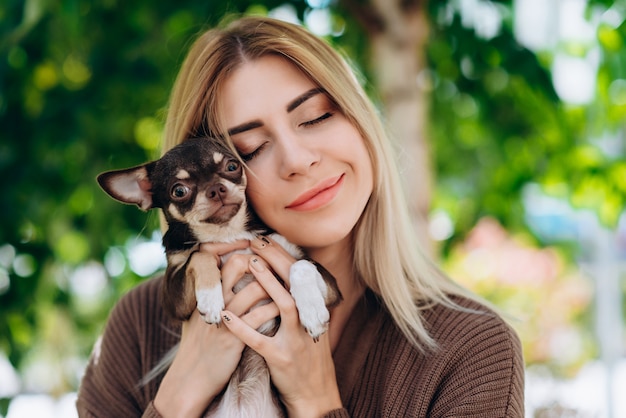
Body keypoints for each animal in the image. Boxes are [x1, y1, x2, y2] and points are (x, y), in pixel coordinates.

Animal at [96, 138, 342, 418]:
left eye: (232, 166)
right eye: (179, 191)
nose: (216, 189)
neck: (227, 234)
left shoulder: (327, 284)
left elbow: (301, 265)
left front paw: (312, 311)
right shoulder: (174, 300)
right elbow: (200, 256)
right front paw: (211, 298)